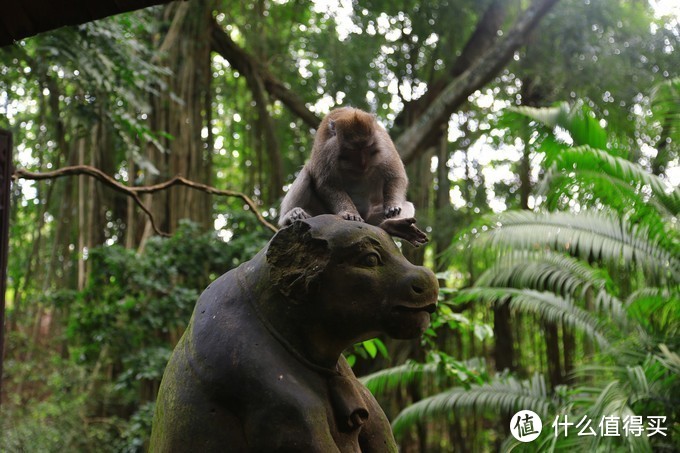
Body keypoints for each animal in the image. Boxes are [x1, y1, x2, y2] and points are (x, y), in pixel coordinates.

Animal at [276, 107, 424, 245]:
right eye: (353, 151)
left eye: (367, 148)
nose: (363, 163)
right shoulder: (326, 149)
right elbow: (327, 184)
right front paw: (350, 213)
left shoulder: (383, 141)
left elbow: (396, 176)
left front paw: (392, 206)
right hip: (321, 212)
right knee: (307, 172)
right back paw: (290, 216)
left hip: (371, 221)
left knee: (407, 206)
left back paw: (391, 225)